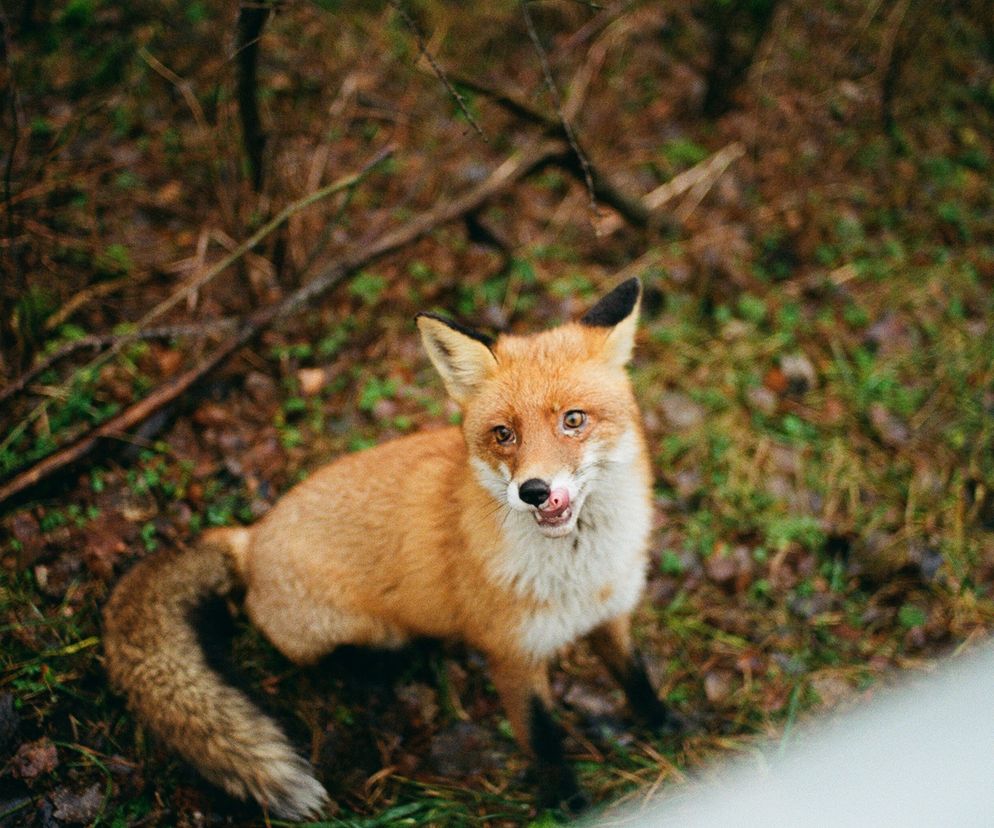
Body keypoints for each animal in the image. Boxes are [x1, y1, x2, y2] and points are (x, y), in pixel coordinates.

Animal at [104, 276, 680, 816]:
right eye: (503, 434)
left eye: (573, 420)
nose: (533, 490)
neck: (579, 574)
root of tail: (251, 535)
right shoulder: (513, 655)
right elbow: (543, 740)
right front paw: (570, 804)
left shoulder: (610, 615)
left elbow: (636, 676)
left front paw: (669, 726)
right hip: (358, 630)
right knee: (337, 660)